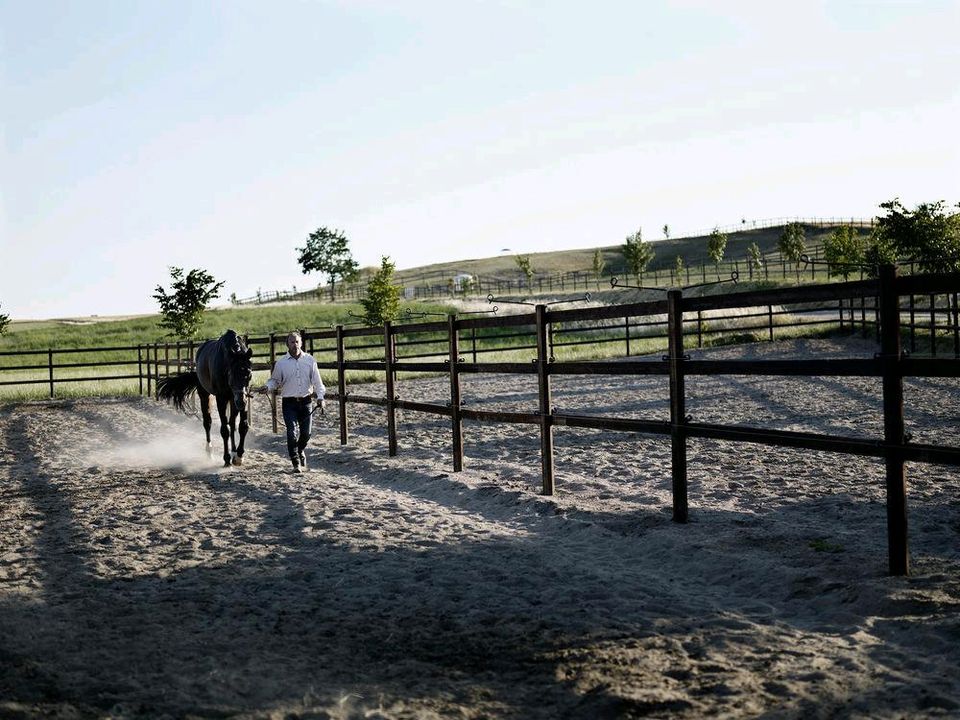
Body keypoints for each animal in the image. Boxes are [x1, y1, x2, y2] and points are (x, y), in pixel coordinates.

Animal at [155, 328, 251, 464]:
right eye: (231, 374)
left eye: (248, 373)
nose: (241, 402)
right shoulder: (221, 399)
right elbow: (224, 430)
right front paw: (226, 459)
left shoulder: (243, 397)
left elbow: (243, 426)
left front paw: (238, 456)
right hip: (205, 395)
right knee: (208, 422)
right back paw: (210, 452)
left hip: (233, 400)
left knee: (232, 424)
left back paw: (233, 452)